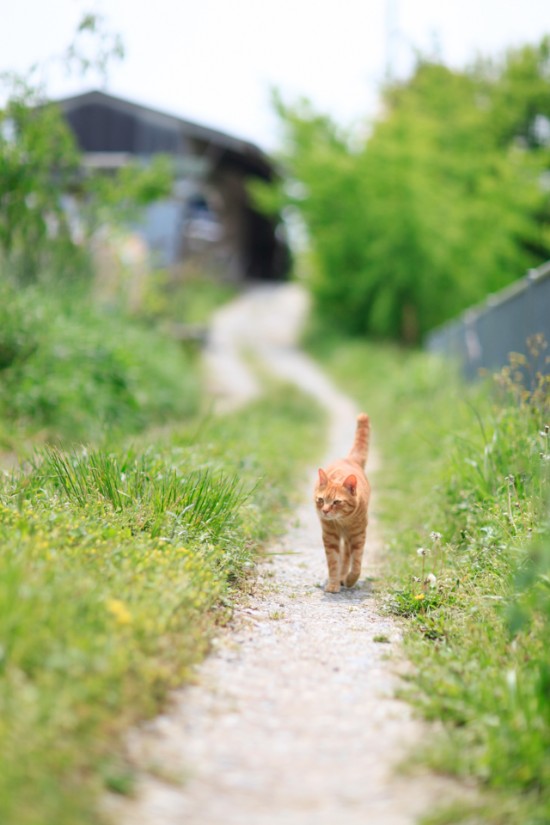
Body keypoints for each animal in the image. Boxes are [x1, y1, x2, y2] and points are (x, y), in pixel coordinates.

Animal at [314, 412, 370, 592]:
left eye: (336, 502)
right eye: (321, 500)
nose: (325, 511)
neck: (342, 521)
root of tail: (349, 459)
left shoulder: (358, 536)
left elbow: (357, 564)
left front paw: (350, 580)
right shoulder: (330, 538)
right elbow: (333, 563)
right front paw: (333, 584)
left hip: (350, 538)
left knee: (347, 556)